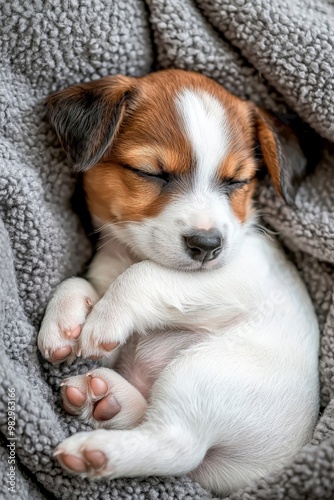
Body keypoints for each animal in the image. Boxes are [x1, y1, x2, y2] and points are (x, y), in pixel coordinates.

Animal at [37, 69, 320, 496]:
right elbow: (78, 283)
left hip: (203, 374)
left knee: (176, 444)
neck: (132, 254)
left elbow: (145, 277)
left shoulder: (236, 276)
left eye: (237, 181)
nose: (207, 245)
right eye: (152, 173)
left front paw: (103, 318)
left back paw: (95, 451)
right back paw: (104, 399)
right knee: (151, 422)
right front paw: (63, 323)